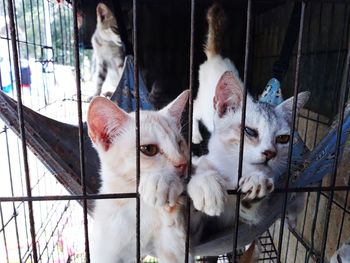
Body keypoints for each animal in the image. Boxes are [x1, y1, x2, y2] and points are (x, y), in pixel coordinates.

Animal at [87, 90, 191, 262]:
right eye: (148, 149)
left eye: (180, 143)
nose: (183, 164)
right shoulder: (104, 252)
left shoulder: (175, 253)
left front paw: (165, 189)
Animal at [187, 2, 308, 226]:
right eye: (250, 131)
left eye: (283, 139)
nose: (270, 153)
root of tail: (217, 57)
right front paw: (206, 185)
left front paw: (257, 184)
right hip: (204, 103)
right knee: (194, 106)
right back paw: (196, 134)